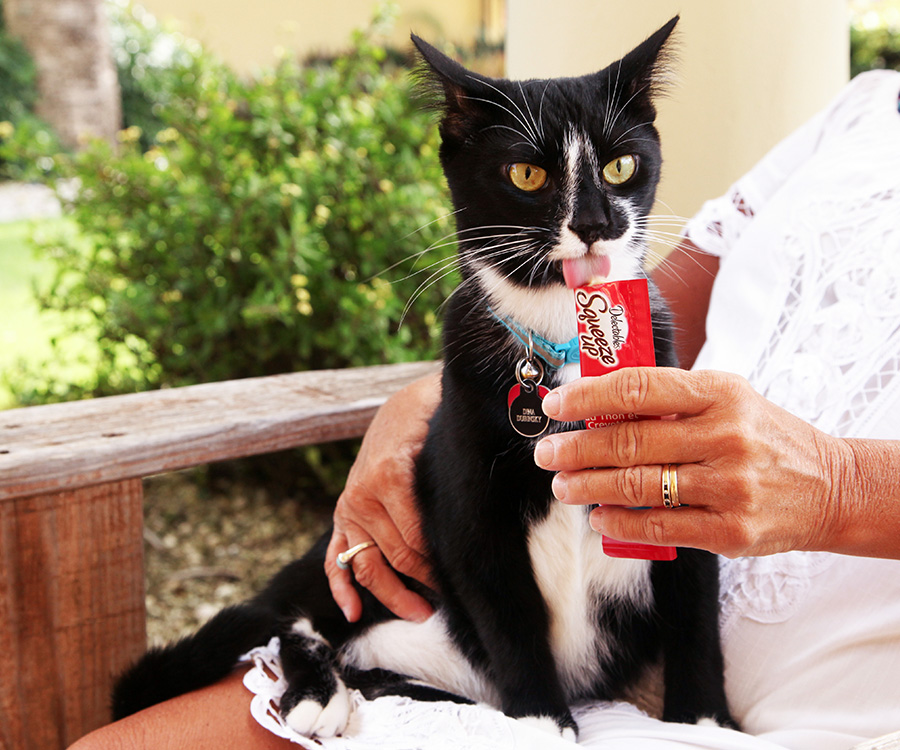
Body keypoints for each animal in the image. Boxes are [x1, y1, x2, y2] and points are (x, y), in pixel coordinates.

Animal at [112, 17, 740, 740]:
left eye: (621, 165)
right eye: (526, 172)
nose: (594, 224)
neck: (565, 344)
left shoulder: (680, 467)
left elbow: (694, 604)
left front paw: (703, 722)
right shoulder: (467, 502)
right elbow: (508, 617)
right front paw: (542, 724)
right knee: (293, 618)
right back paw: (316, 691)